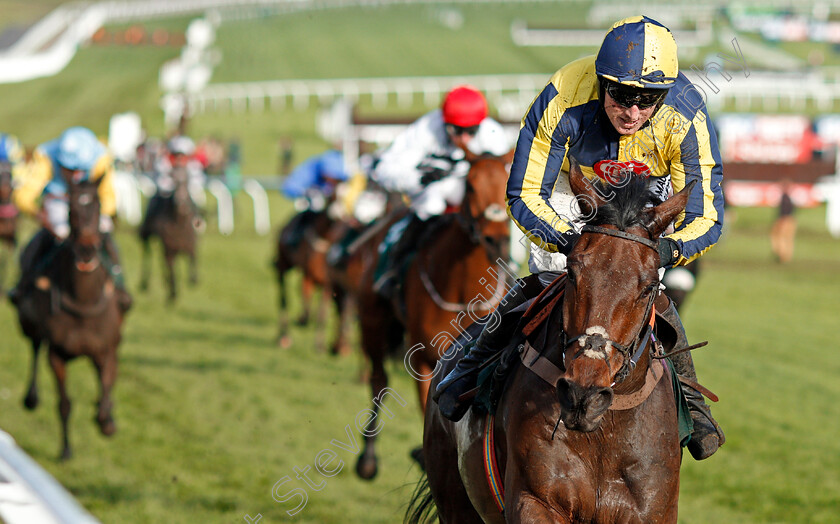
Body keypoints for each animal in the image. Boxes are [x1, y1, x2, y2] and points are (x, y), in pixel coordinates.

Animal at [14, 179, 124, 458]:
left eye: (98, 205)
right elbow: (64, 404)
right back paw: (31, 398)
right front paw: (66, 449)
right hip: (29, 323)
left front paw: (107, 420)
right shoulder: (57, 354)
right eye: (71, 208)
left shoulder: (105, 350)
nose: (86, 249)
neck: (83, 301)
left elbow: (106, 390)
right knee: (34, 347)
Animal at [142, 166, 201, 304]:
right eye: (174, 180)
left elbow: (193, 262)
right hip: (146, 236)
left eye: (187, 180)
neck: (179, 224)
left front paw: (193, 280)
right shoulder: (169, 249)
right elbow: (171, 270)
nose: (181, 202)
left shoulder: (190, 245)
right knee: (148, 255)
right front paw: (172, 294)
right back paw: (145, 283)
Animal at [352, 151, 512, 478]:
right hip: (373, 321)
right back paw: (368, 459)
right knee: (378, 380)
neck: (464, 292)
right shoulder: (424, 360)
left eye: (506, 184)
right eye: (471, 185)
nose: (497, 241)